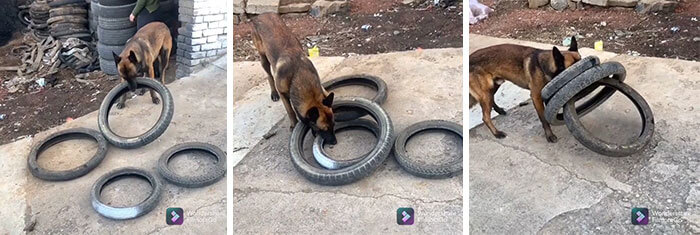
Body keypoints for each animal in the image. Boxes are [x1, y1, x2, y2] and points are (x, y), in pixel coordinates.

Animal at [252, 13, 340, 144]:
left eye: (333, 125)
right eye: (322, 129)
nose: (335, 142)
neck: (298, 73)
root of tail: (261, 15)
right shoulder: (283, 94)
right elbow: (291, 111)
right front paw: (293, 125)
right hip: (263, 58)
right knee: (269, 76)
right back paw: (273, 93)